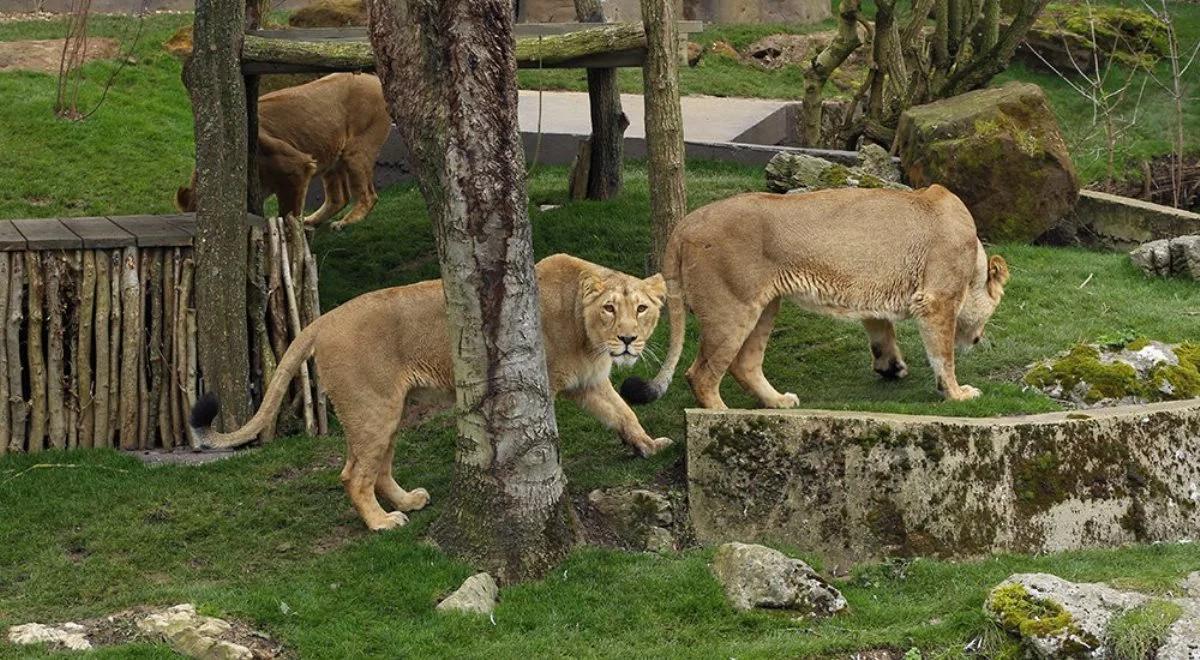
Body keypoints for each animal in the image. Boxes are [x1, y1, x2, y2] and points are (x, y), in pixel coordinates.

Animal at [175, 72, 388, 231]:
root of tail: (375, 79)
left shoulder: (297, 166)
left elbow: (288, 213)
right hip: (332, 156)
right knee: (339, 198)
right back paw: (313, 220)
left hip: (355, 151)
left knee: (369, 195)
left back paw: (344, 223)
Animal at [192, 253, 672, 532]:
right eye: (609, 308)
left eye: (641, 309)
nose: (628, 340)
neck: (585, 328)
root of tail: (322, 320)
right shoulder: (544, 385)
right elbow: (546, 437)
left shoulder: (589, 382)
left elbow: (625, 413)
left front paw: (649, 445)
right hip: (373, 408)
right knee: (353, 474)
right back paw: (382, 523)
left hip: (391, 410)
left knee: (374, 468)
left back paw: (409, 500)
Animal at [624, 182, 1008, 408]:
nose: (978, 339)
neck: (974, 259)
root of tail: (685, 222)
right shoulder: (937, 300)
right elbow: (943, 355)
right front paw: (957, 393)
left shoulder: (874, 290)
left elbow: (881, 330)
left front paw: (891, 366)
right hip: (731, 309)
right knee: (701, 374)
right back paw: (722, 414)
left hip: (765, 306)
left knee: (744, 364)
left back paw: (778, 402)